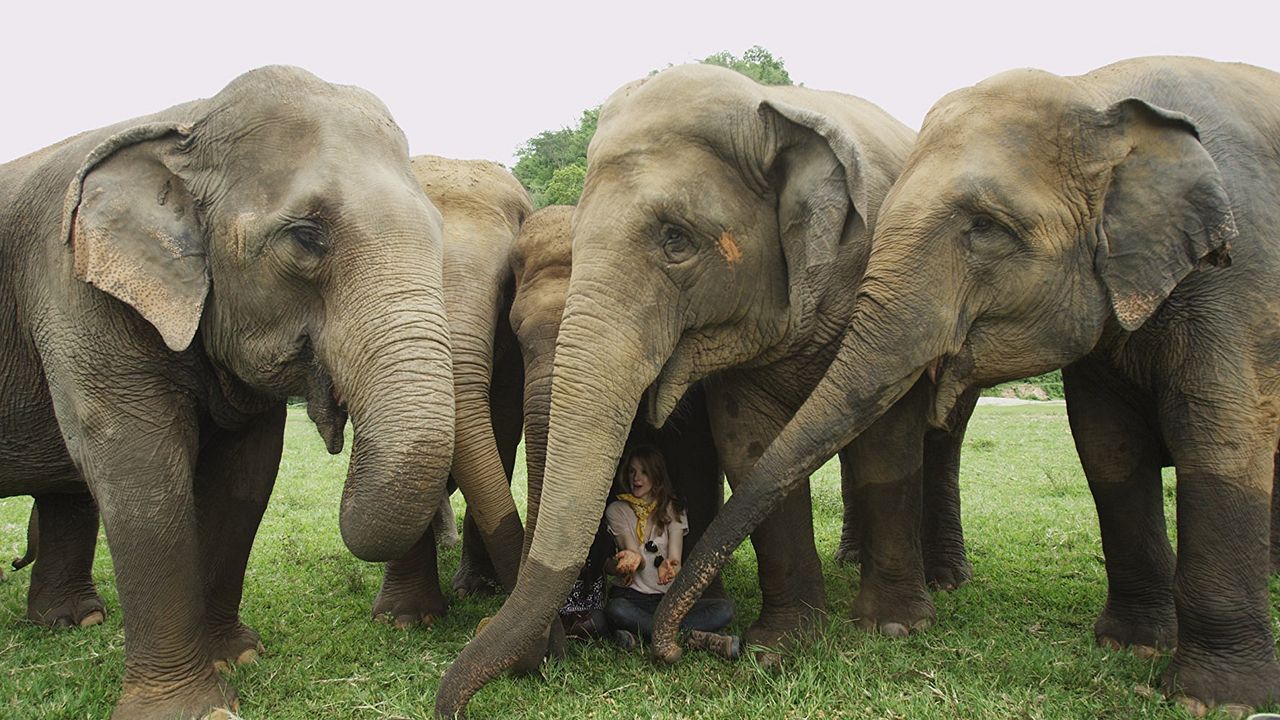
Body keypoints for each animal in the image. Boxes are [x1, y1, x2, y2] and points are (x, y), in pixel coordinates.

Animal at [0, 66, 455, 719]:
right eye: (307, 236)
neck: (186, 121)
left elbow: (246, 474)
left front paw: (237, 658)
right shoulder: (73, 286)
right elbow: (138, 466)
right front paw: (197, 708)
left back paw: (73, 624)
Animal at [436, 63, 978, 716]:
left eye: (676, 239)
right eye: (511, 333)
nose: (550, 649)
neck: (771, 107)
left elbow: (887, 440)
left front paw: (891, 629)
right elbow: (747, 444)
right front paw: (783, 642)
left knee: (941, 436)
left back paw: (943, 579)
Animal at [656, 57, 1280, 713]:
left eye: (986, 227)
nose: (694, 645)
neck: (1099, 94)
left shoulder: (1246, 275)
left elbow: (1219, 437)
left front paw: (1214, 700)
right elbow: (1107, 445)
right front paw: (1133, 647)